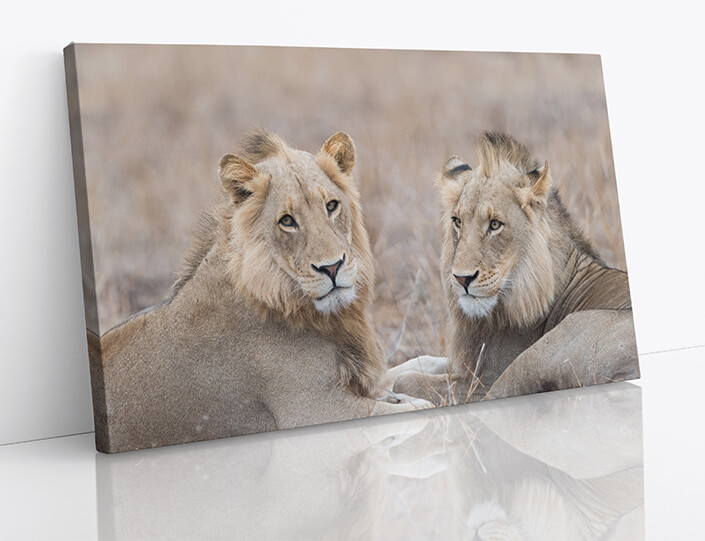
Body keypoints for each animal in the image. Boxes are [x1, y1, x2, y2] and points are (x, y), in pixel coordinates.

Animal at [89, 130, 428, 453]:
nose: (332, 267)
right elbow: (416, 410)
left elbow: (414, 364)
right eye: (287, 221)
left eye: (331, 206)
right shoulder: (315, 410)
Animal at [391, 132, 639, 404]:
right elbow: (419, 361)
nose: (461, 278)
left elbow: (406, 380)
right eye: (457, 222)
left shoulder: (480, 381)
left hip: (538, 354)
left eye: (495, 225)